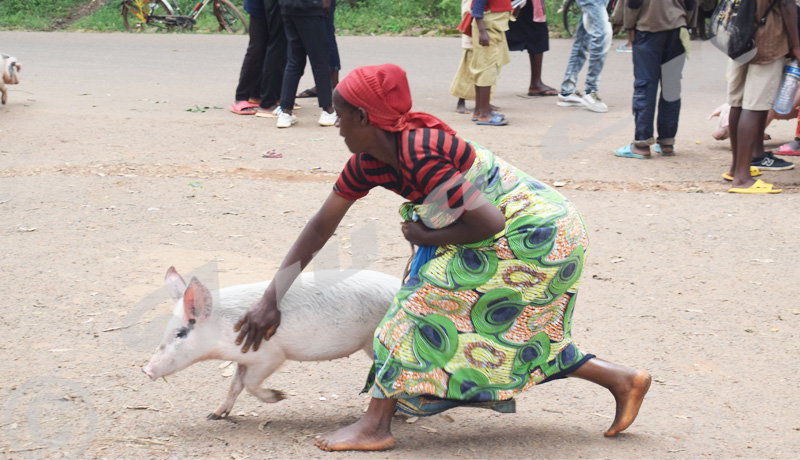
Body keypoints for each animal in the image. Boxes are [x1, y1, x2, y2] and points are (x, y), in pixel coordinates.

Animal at [143, 266, 400, 420]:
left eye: (180, 333)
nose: (146, 369)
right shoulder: (243, 358)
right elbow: (235, 385)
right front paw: (214, 415)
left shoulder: (270, 356)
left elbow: (249, 383)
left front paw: (280, 396)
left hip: (373, 340)